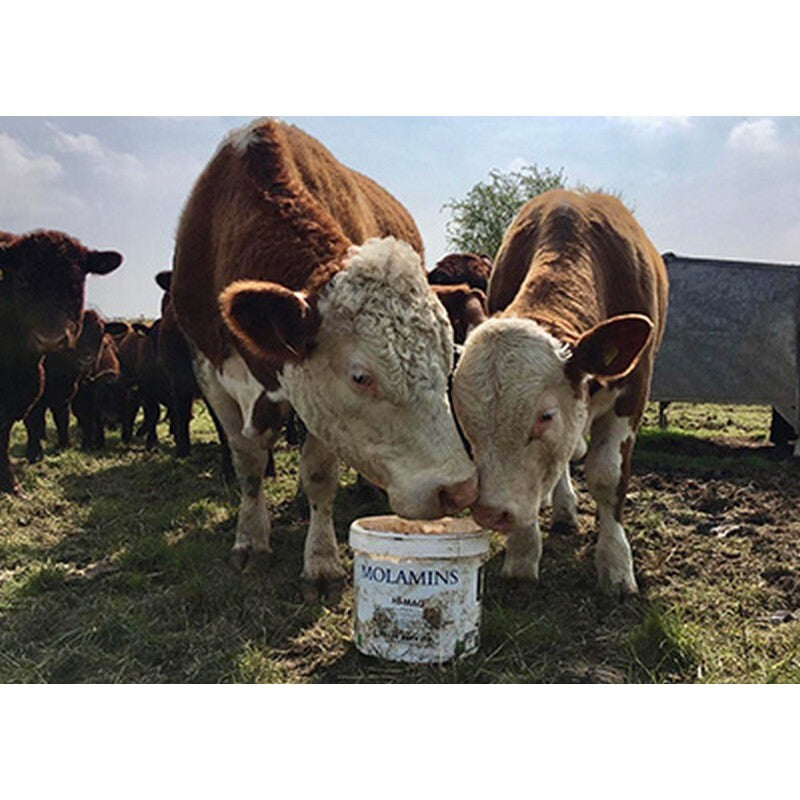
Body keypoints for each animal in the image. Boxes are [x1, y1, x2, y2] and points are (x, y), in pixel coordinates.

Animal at [23, 309, 107, 462]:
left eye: (100, 334)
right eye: (76, 332)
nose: (87, 361)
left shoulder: (64, 395)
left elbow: (62, 419)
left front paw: (64, 445)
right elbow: (32, 421)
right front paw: (34, 452)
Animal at [171, 118, 477, 602]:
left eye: (447, 361)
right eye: (360, 377)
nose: (460, 488)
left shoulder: (321, 409)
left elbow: (319, 475)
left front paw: (320, 562)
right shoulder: (211, 373)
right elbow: (247, 466)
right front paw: (250, 539)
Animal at [452, 190, 668, 597]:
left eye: (545, 416)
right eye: (464, 418)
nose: (489, 511)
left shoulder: (633, 394)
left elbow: (607, 475)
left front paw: (616, 565)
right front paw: (522, 555)